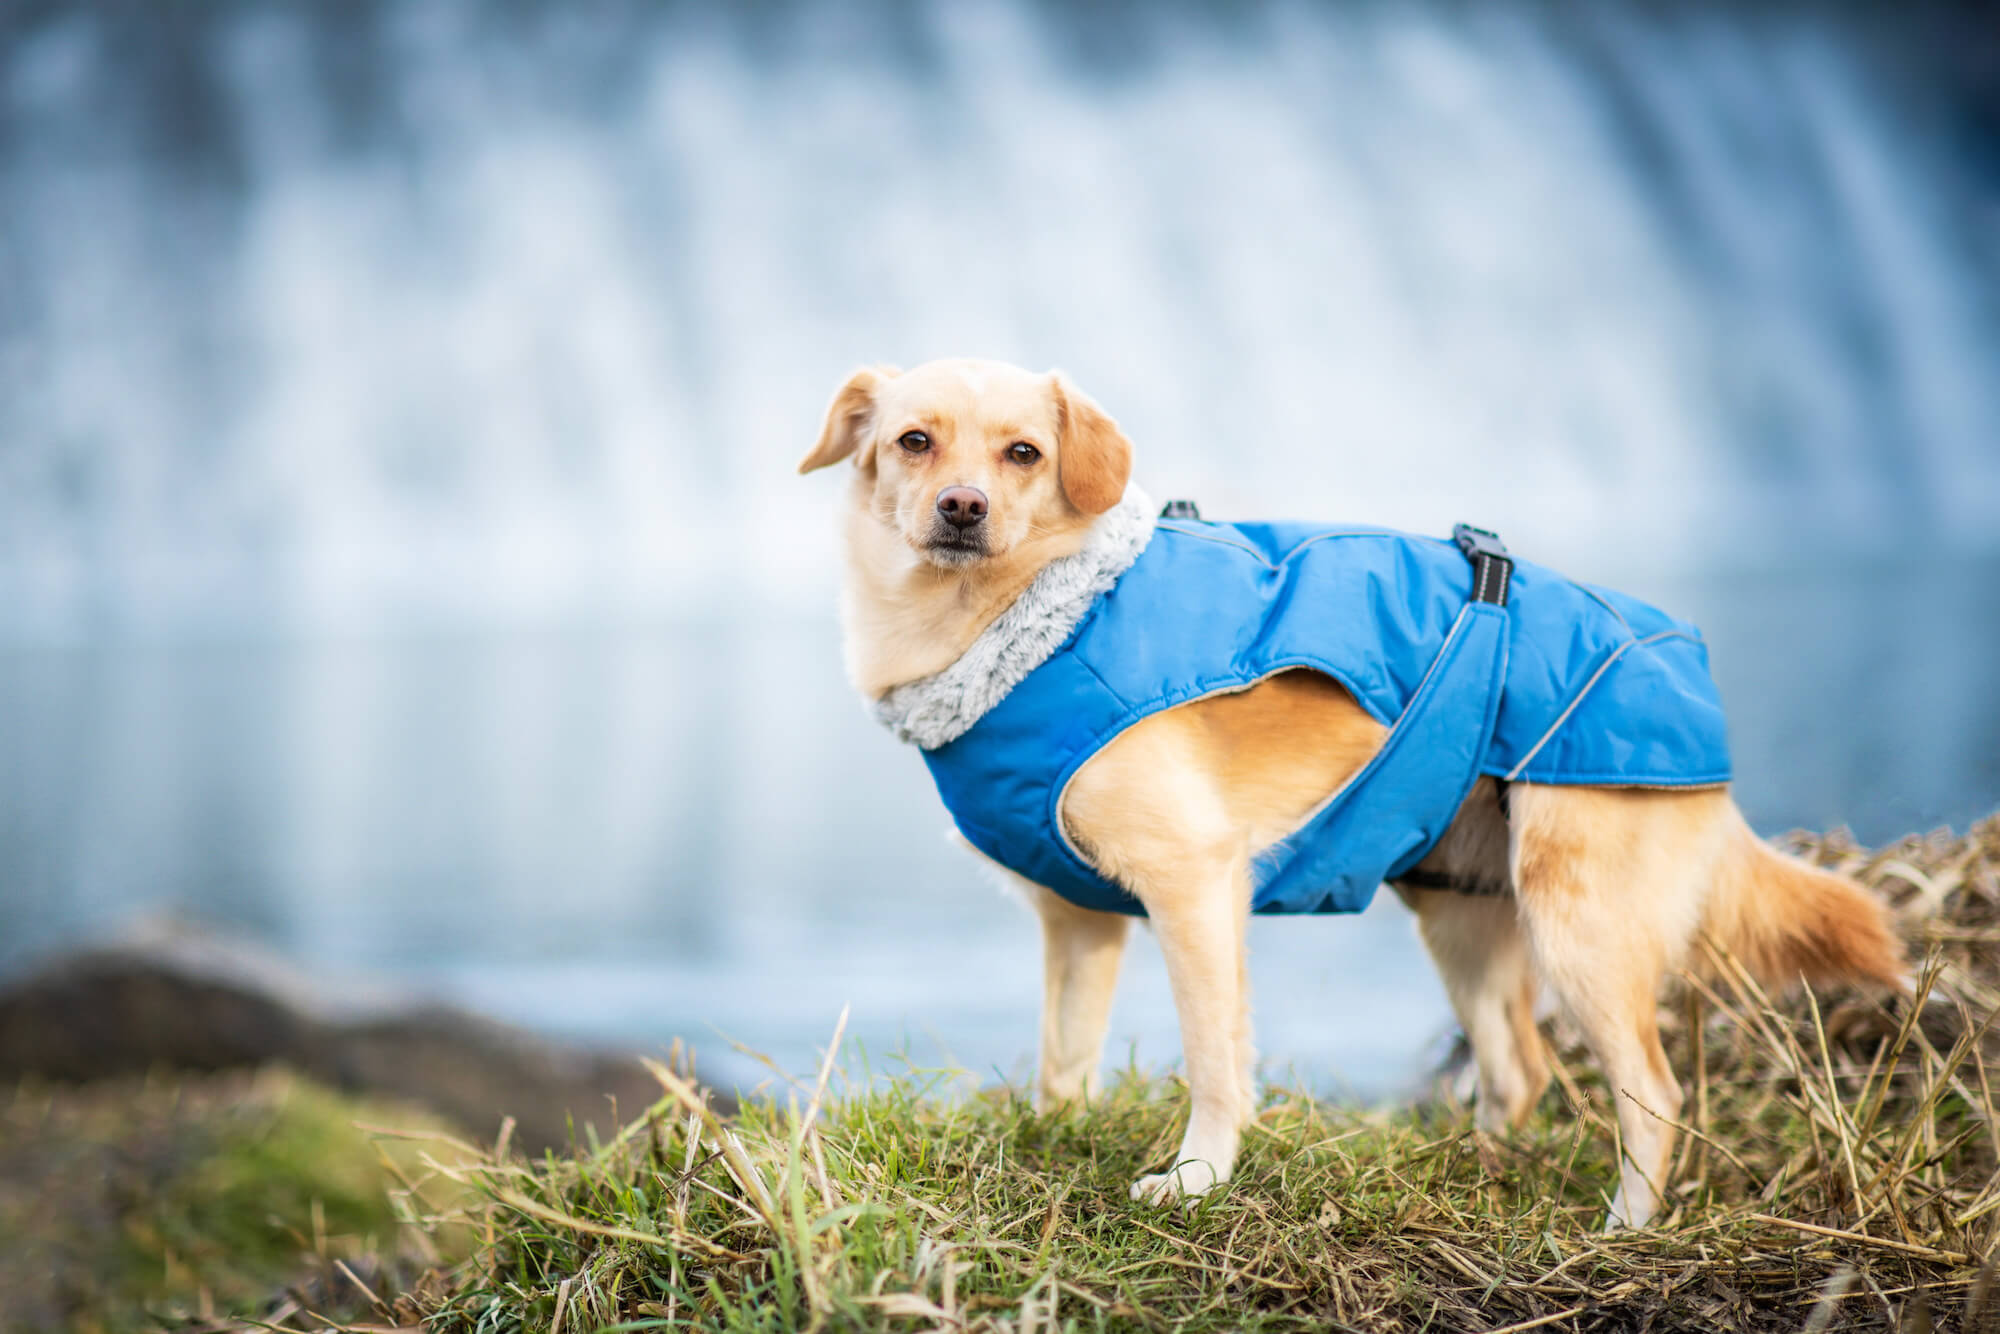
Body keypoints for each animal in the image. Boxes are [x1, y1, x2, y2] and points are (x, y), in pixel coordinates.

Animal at [800, 358, 1904, 1232]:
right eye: (913, 441)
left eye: (1024, 453)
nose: (963, 507)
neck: (1027, 623)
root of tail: (1684, 662)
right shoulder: (1078, 922)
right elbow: (1062, 1058)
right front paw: (1053, 1139)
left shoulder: (1195, 889)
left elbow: (1215, 1057)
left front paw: (1195, 1177)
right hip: (1462, 917)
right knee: (1518, 1069)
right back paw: (1478, 1173)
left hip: (1581, 921)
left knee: (1653, 1092)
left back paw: (1621, 1229)